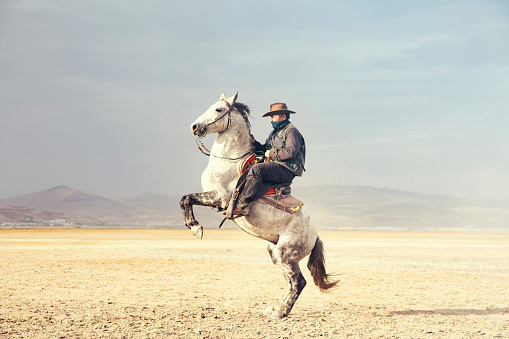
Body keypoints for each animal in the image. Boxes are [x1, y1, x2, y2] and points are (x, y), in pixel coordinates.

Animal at [179, 92, 338, 318]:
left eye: (219, 109)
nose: (195, 127)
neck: (228, 161)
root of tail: (314, 236)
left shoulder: (218, 197)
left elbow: (186, 199)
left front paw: (196, 227)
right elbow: (185, 199)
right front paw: (194, 226)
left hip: (286, 255)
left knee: (298, 282)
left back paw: (280, 313)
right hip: (276, 253)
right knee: (290, 282)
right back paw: (276, 308)